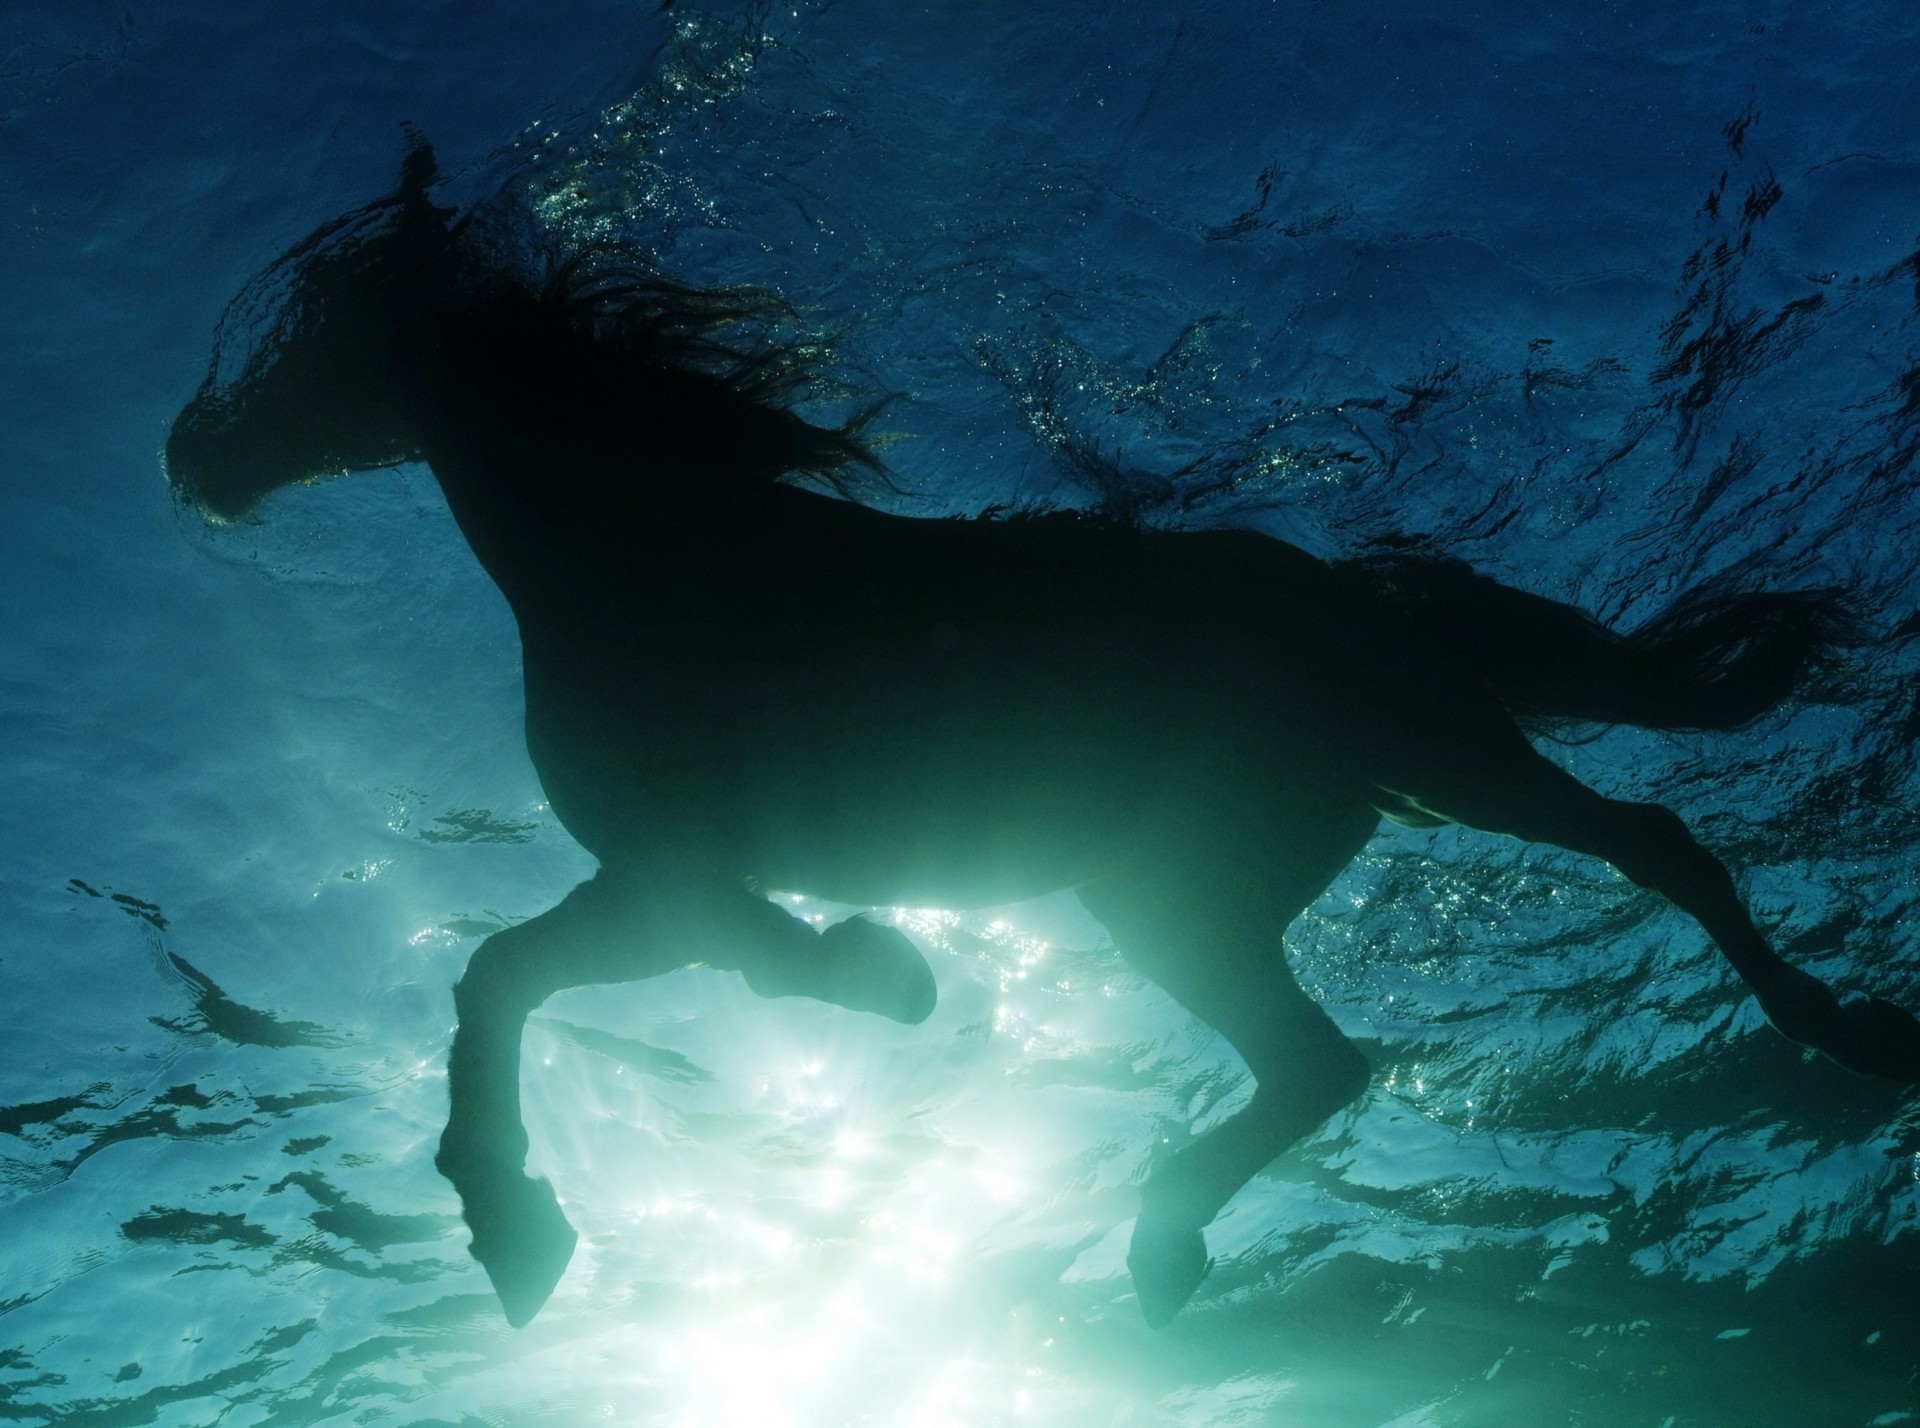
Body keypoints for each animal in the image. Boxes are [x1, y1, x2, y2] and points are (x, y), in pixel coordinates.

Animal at [165, 141, 1920, 1331]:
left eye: (306, 325)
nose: (193, 458)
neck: (646, 563)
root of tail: (1352, 594)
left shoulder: (685, 872)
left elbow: (688, 962)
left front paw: (880, 973)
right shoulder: (645, 881)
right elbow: (502, 976)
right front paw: (515, 1224)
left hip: (1431, 765)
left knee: (1655, 847)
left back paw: (1849, 1033)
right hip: (1176, 898)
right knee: (1323, 1061)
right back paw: (1157, 1245)